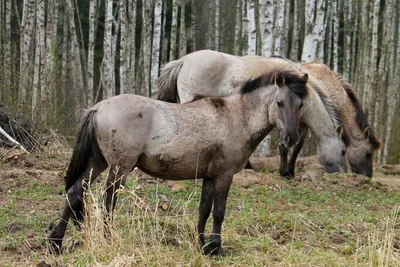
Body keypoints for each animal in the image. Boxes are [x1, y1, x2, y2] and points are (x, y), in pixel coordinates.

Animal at [47, 70, 310, 256]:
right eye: (279, 103)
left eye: (301, 105)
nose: (291, 138)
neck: (235, 117)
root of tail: (98, 107)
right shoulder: (225, 175)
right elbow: (219, 212)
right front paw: (217, 248)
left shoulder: (209, 176)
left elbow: (204, 210)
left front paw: (201, 245)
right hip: (119, 168)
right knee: (108, 201)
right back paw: (109, 240)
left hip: (97, 162)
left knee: (74, 192)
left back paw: (55, 243)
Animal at [156, 50, 346, 176]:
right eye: (344, 151)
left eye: (301, 105)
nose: (343, 173)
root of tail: (183, 60)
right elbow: (283, 147)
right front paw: (284, 172)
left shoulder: (299, 125)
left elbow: (297, 147)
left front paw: (290, 172)